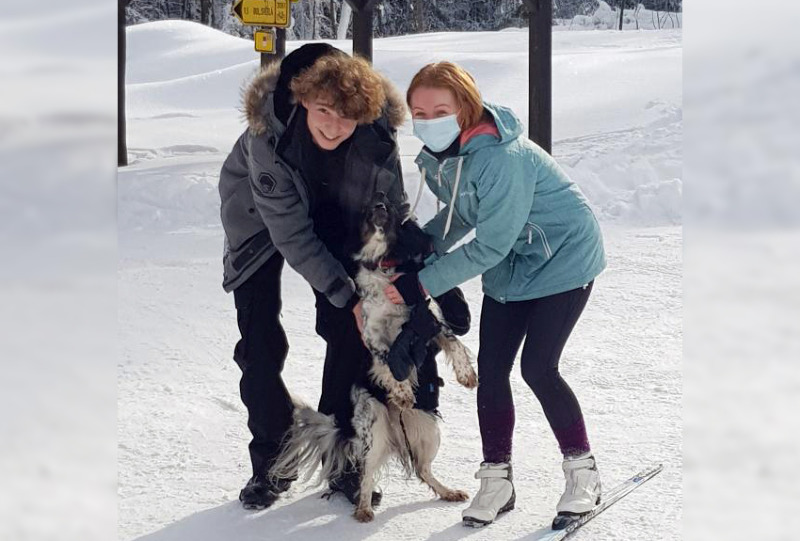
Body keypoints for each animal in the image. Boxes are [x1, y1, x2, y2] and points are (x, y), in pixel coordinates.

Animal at [272, 193, 478, 520]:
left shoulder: (428, 322)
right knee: (367, 471)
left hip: (428, 428)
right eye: (369, 208)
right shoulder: (372, 334)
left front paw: (466, 375)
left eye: (391, 207)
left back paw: (448, 492)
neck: (384, 265)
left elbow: (454, 342)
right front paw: (403, 392)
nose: (380, 203)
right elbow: (387, 361)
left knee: (422, 469)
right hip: (375, 427)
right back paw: (364, 508)